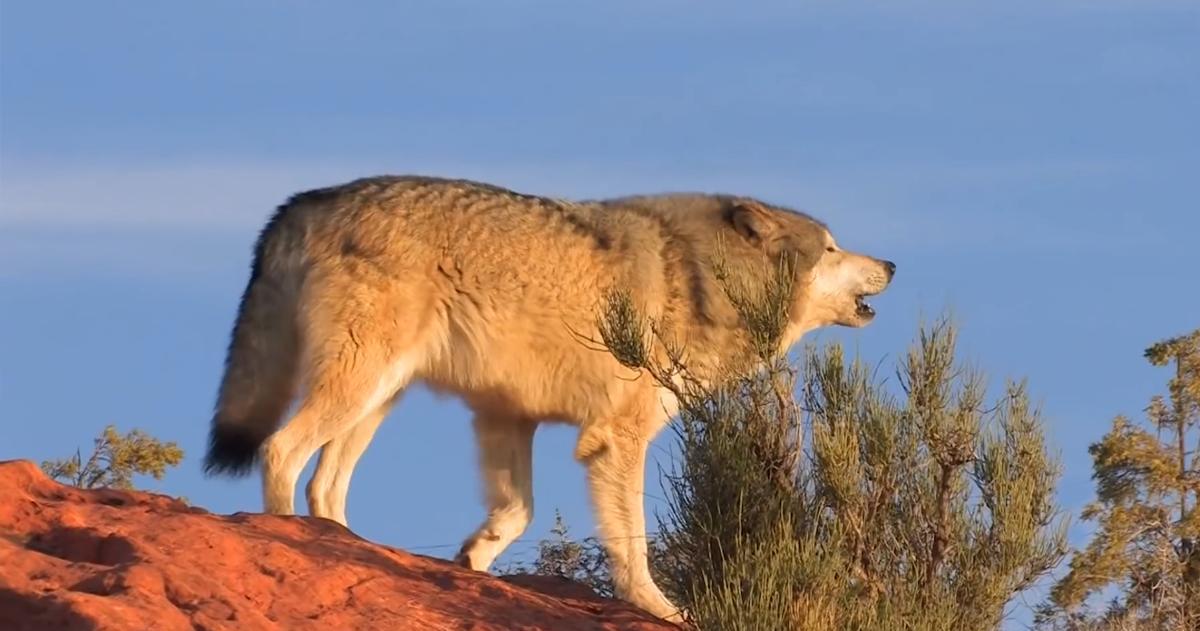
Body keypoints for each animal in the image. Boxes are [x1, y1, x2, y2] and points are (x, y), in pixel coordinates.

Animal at [201, 176, 892, 623]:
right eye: (832, 248)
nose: (889, 264)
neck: (698, 278)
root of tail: (302, 202)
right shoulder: (618, 439)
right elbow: (632, 545)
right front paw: (660, 608)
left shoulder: (508, 416)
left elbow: (517, 514)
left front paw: (472, 562)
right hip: (357, 385)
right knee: (281, 449)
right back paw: (288, 533)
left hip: (378, 397)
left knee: (326, 485)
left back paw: (341, 543)